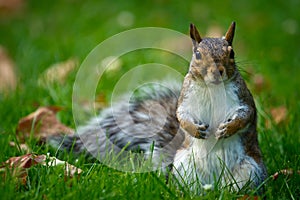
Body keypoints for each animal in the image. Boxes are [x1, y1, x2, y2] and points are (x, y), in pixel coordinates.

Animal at [48, 21, 266, 194]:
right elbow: (181, 116)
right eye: (197, 54)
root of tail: (211, 185)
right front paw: (195, 130)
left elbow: (245, 115)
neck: (212, 89)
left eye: (232, 53)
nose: (217, 71)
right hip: (185, 167)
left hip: (250, 171)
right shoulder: (186, 101)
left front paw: (227, 128)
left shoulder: (243, 99)